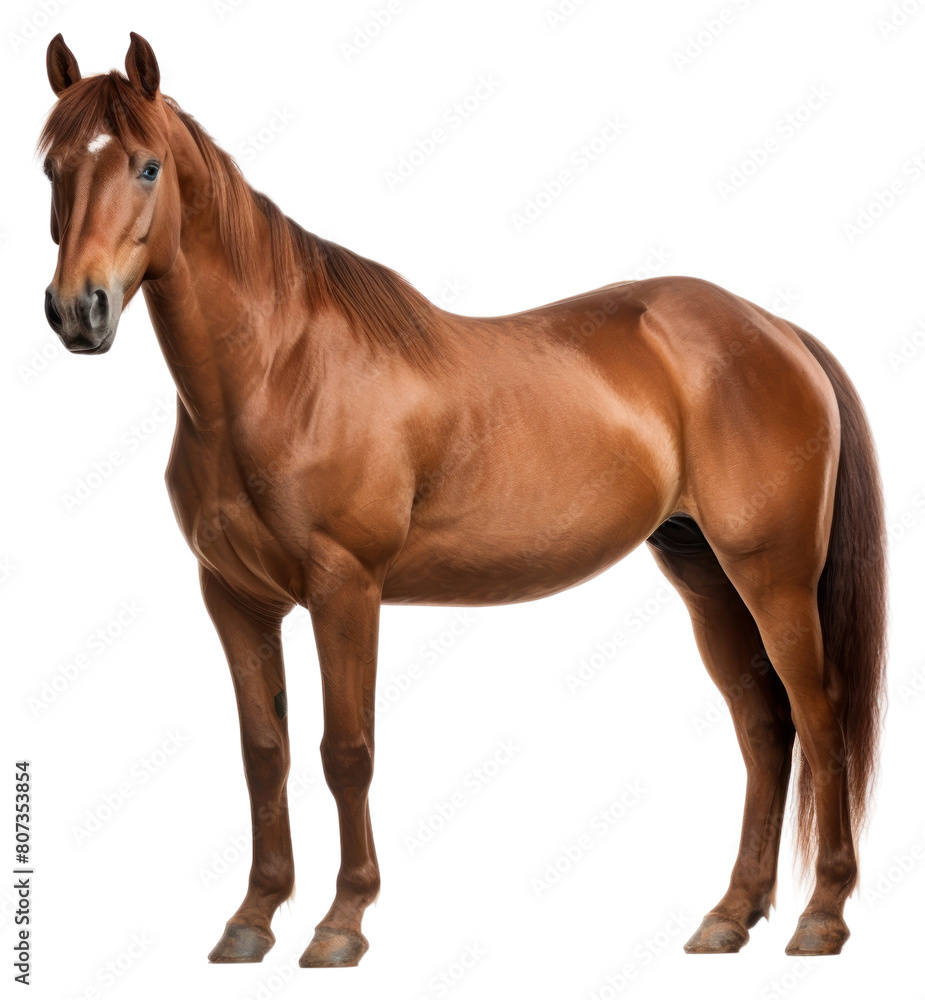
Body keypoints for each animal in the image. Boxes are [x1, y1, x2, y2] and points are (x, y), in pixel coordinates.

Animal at [38, 32, 886, 965]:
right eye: (51, 166)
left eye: (147, 166)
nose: (77, 311)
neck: (276, 371)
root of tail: (774, 331)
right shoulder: (233, 598)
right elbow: (265, 752)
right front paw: (251, 920)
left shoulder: (345, 588)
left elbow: (346, 751)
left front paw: (341, 922)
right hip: (704, 576)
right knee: (764, 727)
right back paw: (729, 914)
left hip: (773, 576)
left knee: (819, 716)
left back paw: (821, 916)